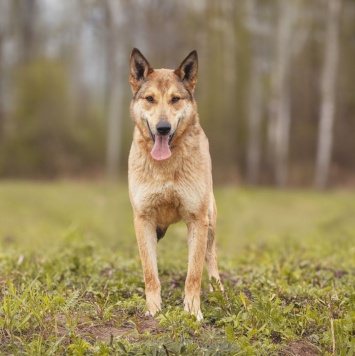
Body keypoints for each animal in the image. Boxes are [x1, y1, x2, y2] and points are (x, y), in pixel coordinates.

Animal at [128, 47, 222, 320]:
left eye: (175, 99)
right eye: (150, 99)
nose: (163, 128)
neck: (165, 168)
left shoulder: (197, 219)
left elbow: (193, 274)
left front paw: (192, 312)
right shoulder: (144, 219)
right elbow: (150, 273)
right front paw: (153, 310)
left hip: (210, 222)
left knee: (211, 259)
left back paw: (219, 293)